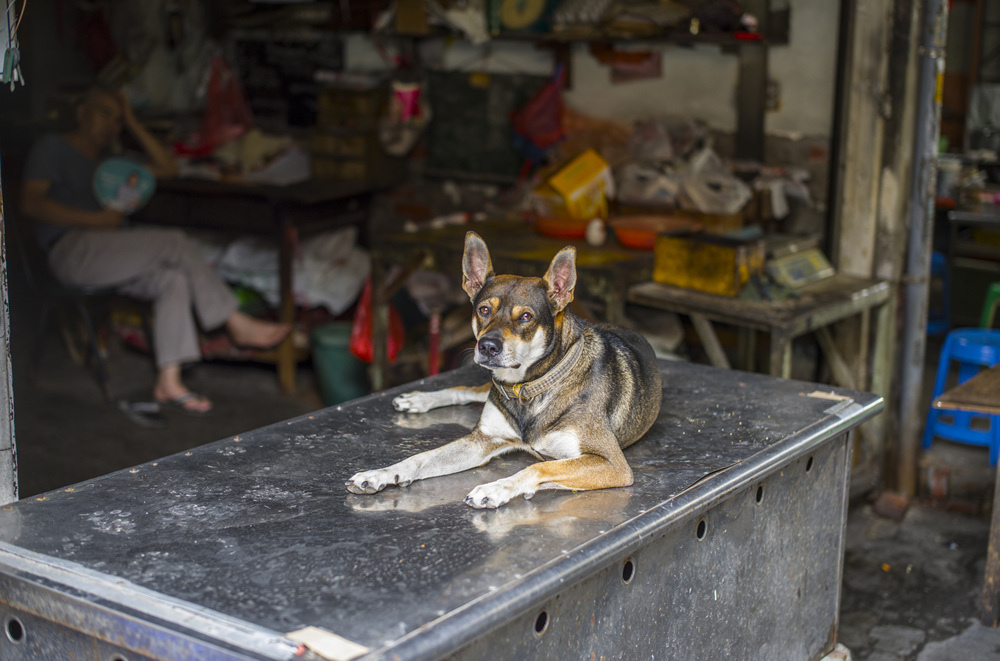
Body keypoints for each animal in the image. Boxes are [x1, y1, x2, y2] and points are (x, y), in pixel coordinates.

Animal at [346, 232, 664, 510]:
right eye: (484, 310)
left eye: (525, 316)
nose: (487, 347)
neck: (529, 387)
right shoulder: (482, 441)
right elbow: (420, 458)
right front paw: (379, 474)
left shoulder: (611, 463)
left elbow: (540, 467)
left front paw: (496, 488)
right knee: (467, 391)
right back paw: (419, 399)